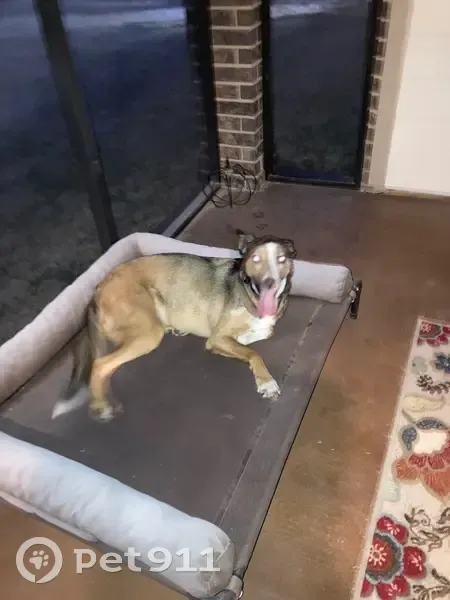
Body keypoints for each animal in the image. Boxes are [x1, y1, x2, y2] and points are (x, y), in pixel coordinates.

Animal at [52, 230, 296, 422]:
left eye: (282, 259)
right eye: (255, 258)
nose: (269, 283)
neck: (249, 294)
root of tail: (97, 289)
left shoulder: (247, 332)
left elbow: (258, 335)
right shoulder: (217, 338)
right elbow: (253, 352)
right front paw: (266, 382)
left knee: (108, 367)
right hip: (149, 333)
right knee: (100, 364)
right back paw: (100, 406)